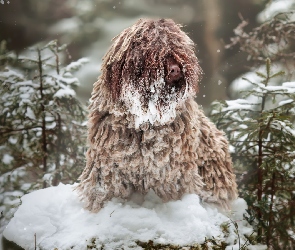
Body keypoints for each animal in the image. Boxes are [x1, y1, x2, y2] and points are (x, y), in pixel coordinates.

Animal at [76, 18, 238, 212]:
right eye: (153, 51)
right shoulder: (108, 165)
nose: (176, 69)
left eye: (178, 49)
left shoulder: (172, 170)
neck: (145, 118)